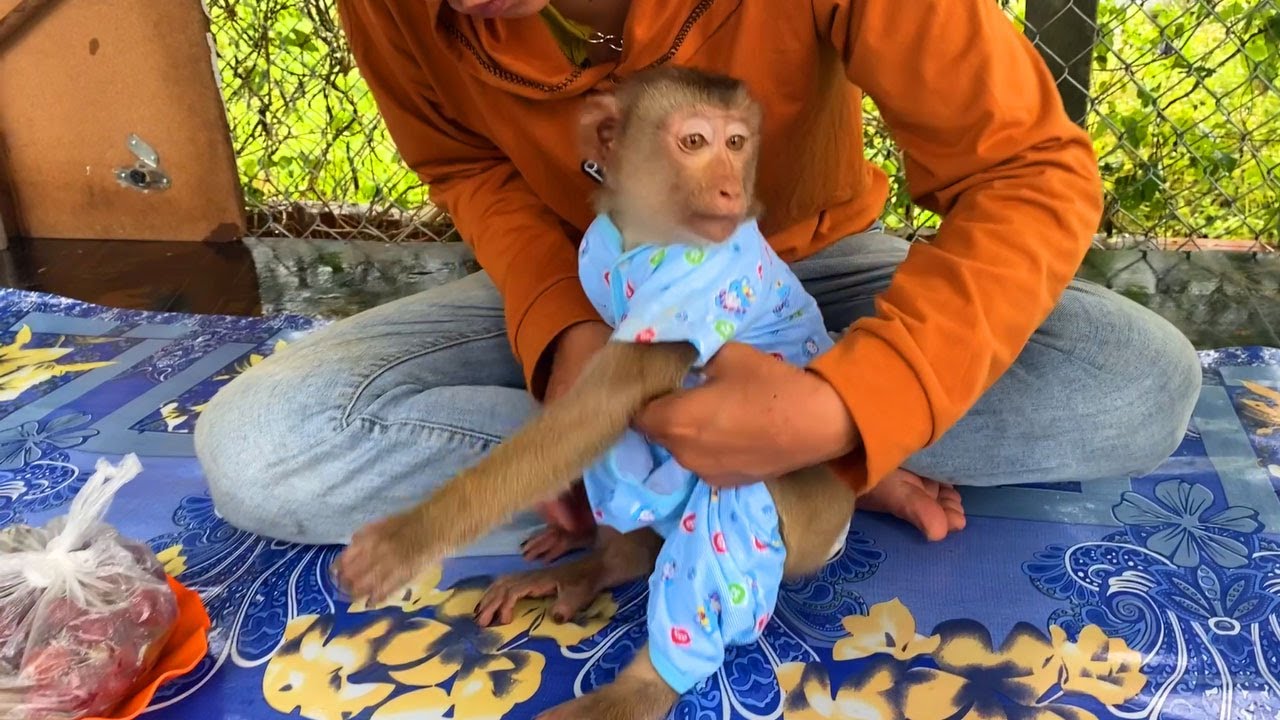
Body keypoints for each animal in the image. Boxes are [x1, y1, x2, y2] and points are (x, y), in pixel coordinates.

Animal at [333, 66, 858, 720]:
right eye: (695, 142)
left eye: (737, 144)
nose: (731, 190)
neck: (650, 234)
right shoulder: (597, 251)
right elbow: (587, 407)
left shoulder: (699, 284)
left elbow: (596, 411)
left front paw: (410, 537)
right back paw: (610, 561)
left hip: (799, 515)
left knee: (725, 511)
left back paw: (639, 686)